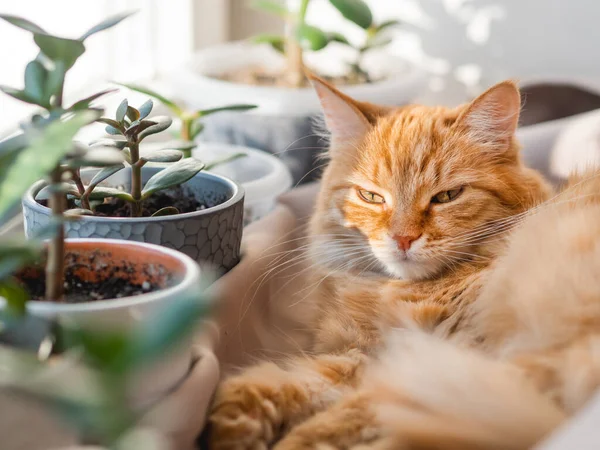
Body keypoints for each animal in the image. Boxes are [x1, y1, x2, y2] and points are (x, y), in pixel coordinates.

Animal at [205, 78, 600, 450]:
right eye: (371, 197)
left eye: (447, 196)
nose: (403, 239)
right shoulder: (357, 357)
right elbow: (272, 384)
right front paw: (233, 430)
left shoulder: (446, 361)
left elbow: (339, 419)